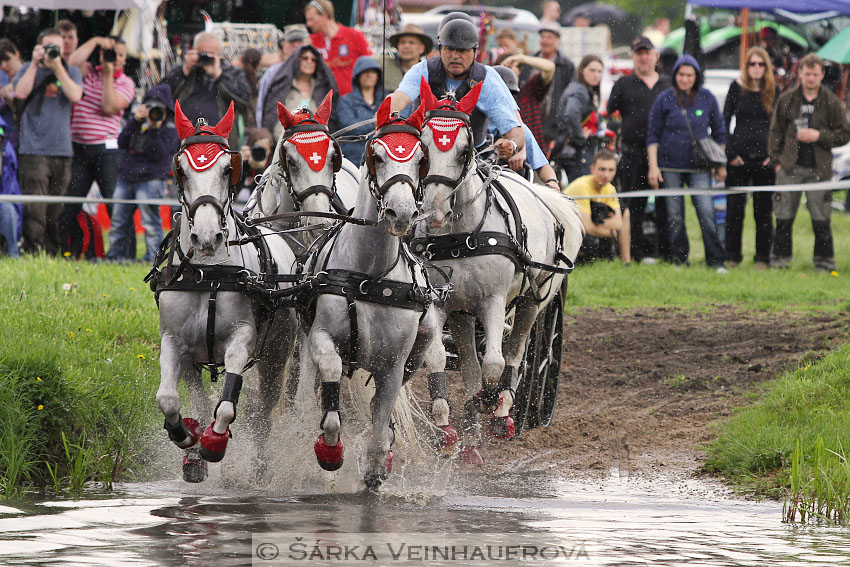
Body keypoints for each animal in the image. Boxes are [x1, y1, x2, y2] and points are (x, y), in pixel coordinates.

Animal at [152, 103, 298, 484]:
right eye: (181, 169)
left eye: (228, 168)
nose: (206, 238)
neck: (209, 275)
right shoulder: (175, 342)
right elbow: (170, 399)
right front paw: (186, 439)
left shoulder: (242, 339)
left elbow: (228, 406)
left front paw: (214, 442)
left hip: (277, 355)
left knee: (263, 414)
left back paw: (260, 468)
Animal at [296, 96, 438, 488]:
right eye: (377, 156)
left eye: (421, 158)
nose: (401, 213)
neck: (369, 277)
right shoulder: (322, 337)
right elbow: (331, 381)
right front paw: (329, 450)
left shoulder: (393, 366)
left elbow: (379, 425)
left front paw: (376, 470)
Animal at [410, 81, 584, 466]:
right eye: (423, 148)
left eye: (465, 150)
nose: (435, 213)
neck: (459, 236)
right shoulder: (439, 304)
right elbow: (439, 358)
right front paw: (446, 429)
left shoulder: (492, 301)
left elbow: (495, 362)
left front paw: (491, 404)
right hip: (462, 312)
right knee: (470, 365)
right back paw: (473, 439)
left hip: (533, 301)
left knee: (515, 353)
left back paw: (503, 412)